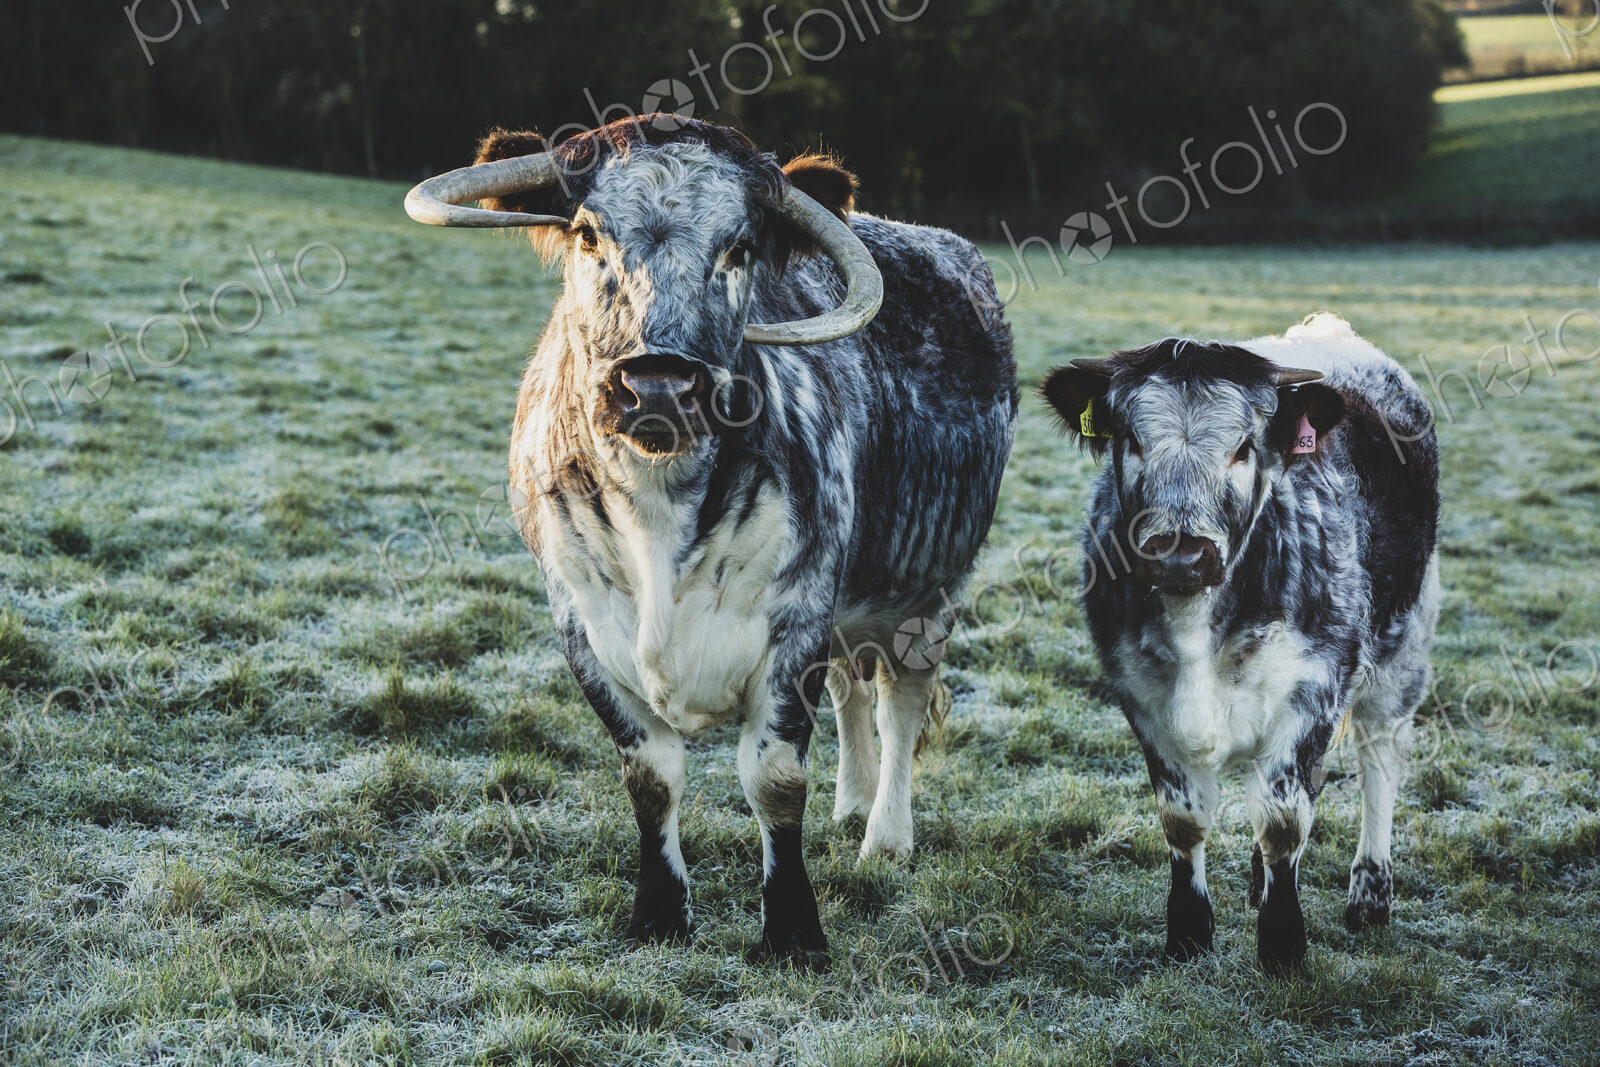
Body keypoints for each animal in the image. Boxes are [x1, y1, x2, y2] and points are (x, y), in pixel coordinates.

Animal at [404, 117, 1017, 967]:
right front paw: (660, 912)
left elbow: (775, 778)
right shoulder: (582, 626)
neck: (660, 509)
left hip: (929, 589)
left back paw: (886, 835)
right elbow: (652, 775)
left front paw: (793, 928)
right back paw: (852, 803)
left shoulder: (797, 617)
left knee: (900, 704)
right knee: (853, 690)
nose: (658, 386)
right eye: (588, 233)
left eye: (742, 246)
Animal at [1041, 313, 1440, 973]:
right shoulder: (1141, 698)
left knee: (1379, 759)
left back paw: (1369, 898)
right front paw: (1188, 935)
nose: (1180, 553)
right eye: (1133, 440)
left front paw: (1282, 944)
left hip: (1401, 653)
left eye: (1244, 447)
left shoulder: (1313, 689)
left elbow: (1283, 821)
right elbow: (1183, 819)